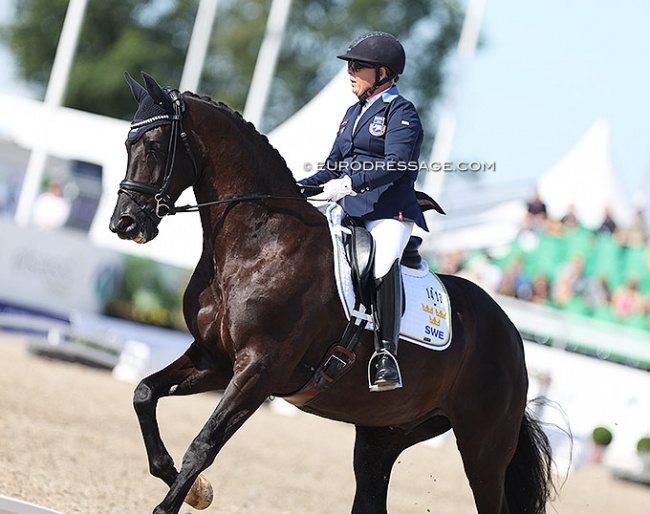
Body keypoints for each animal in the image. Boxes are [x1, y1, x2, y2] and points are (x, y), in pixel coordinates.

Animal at [109, 73, 548, 512]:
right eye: (127, 144)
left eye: (153, 145)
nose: (124, 223)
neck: (258, 243)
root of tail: (512, 334)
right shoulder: (214, 359)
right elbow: (143, 393)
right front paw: (195, 489)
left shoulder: (260, 369)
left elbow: (202, 446)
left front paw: (176, 500)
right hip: (385, 433)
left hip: (484, 446)